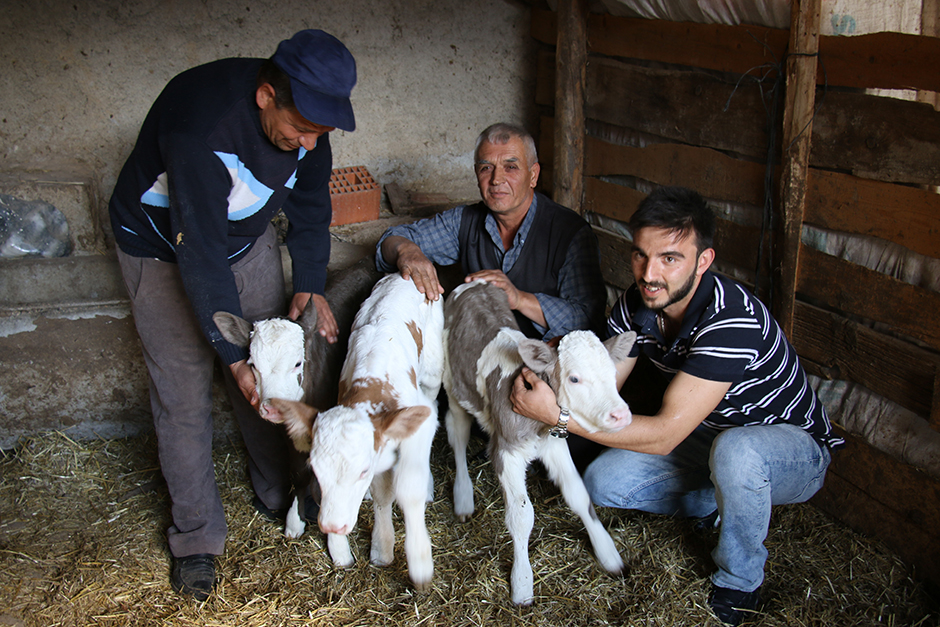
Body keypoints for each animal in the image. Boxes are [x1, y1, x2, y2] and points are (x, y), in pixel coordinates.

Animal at [268, 272, 444, 592]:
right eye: (316, 469)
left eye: (361, 471)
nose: (332, 526)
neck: (372, 383)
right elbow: (382, 492)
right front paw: (380, 547)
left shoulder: (417, 424)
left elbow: (407, 490)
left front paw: (420, 563)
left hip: (432, 373)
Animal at [442, 280, 636, 604]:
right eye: (574, 379)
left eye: (612, 372)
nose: (621, 415)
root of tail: (474, 283)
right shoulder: (507, 451)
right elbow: (521, 515)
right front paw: (522, 583)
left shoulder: (554, 443)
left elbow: (579, 495)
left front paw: (607, 552)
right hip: (453, 384)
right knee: (457, 433)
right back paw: (463, 496)